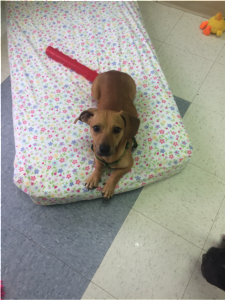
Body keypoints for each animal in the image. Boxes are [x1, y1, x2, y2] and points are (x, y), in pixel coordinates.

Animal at [74, 70, 140, 199]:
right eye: (96, 128)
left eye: (117, 129)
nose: (104, 149)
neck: (109, 159)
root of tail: (113, 71)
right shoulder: (97, 155)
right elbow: (99, 166)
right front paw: (94, 177)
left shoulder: (128, 165)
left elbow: (116, 173)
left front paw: (109, 186)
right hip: (95, 91)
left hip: (133, 90)